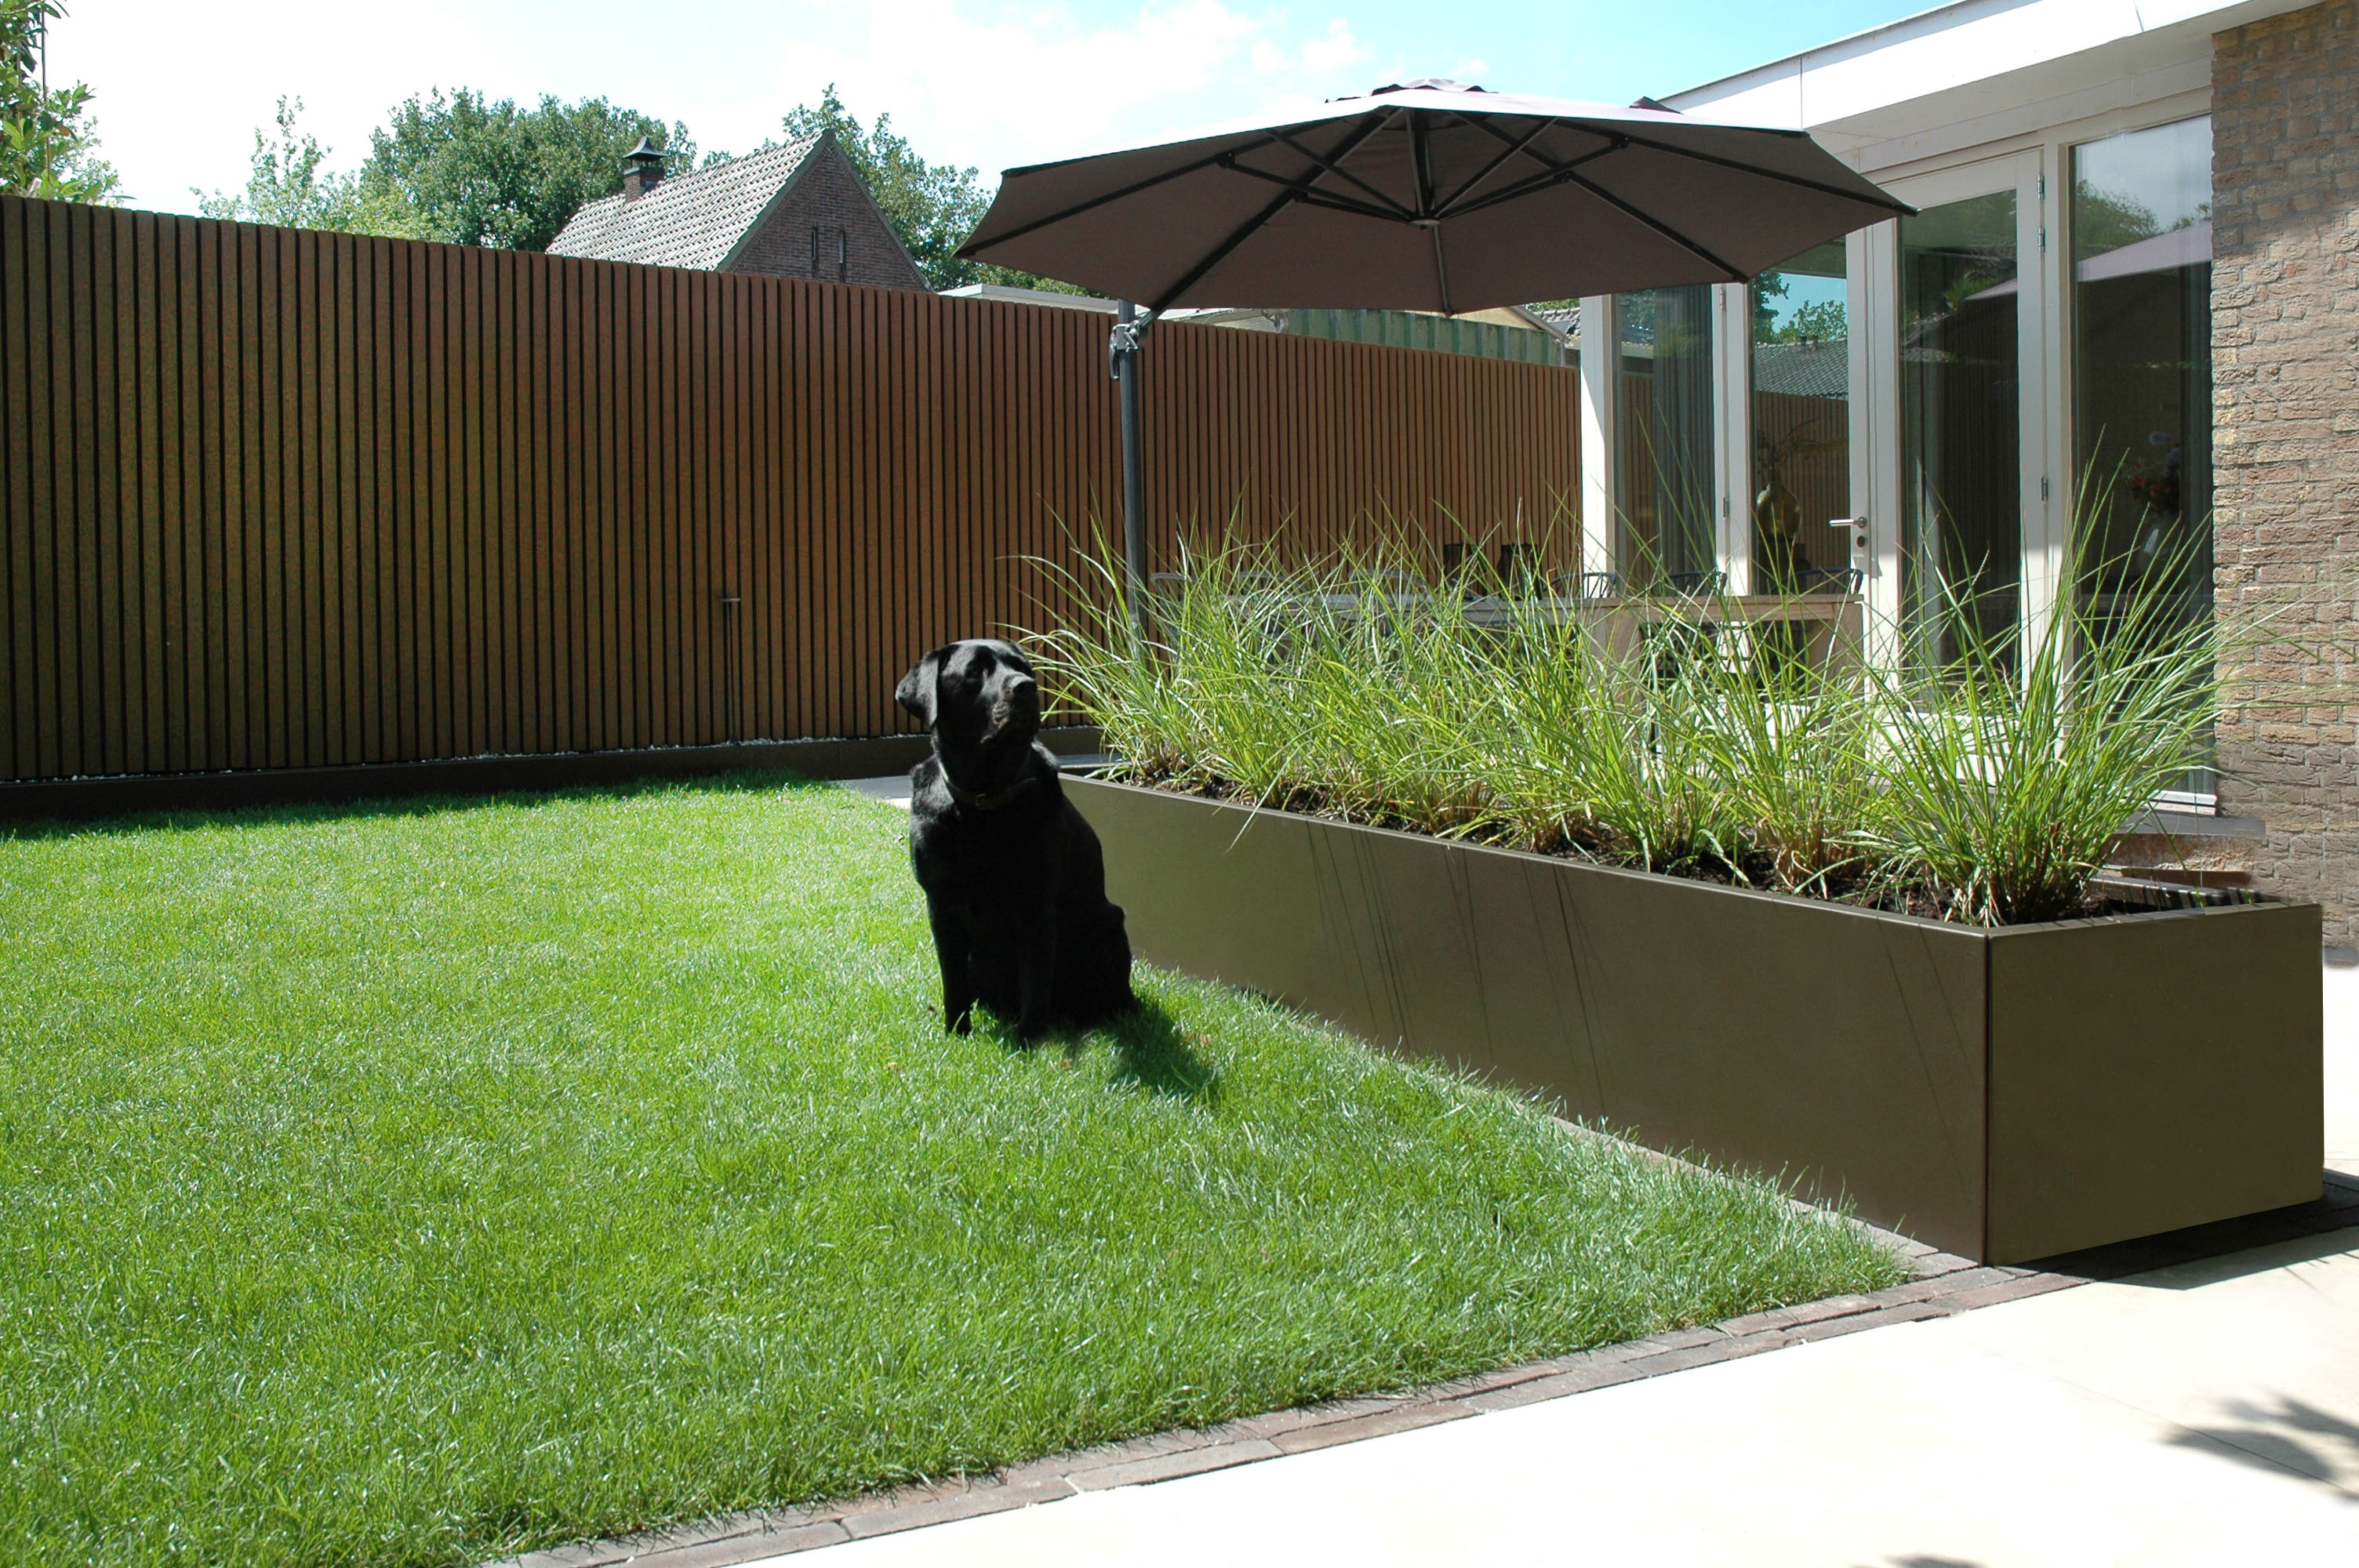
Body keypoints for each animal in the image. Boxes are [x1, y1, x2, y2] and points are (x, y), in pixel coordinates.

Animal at [896, 639, 1138, 1041]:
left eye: (1023, 667)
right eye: (974, 672)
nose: (1026, 687)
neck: (981, 805)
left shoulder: (1035, 906)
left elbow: (1035, 983)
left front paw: (1028, 1040)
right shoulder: (941, 904)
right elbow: (952, 982)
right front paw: (956, 1033)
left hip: (1108, 929)